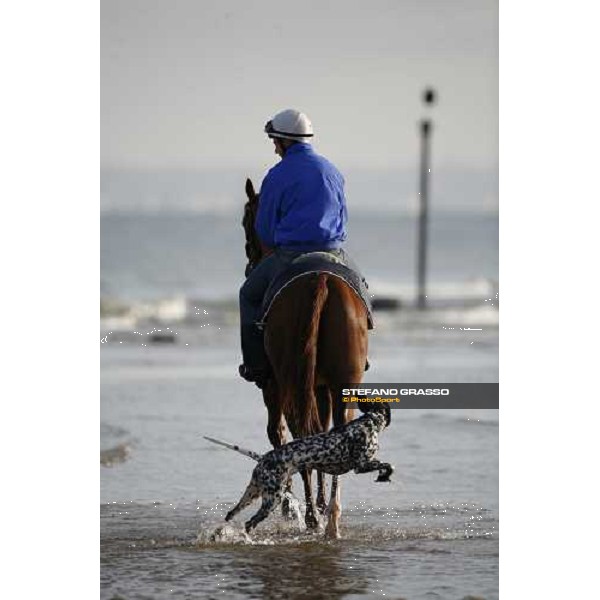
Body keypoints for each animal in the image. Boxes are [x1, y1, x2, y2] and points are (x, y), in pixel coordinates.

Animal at [206, 406, 394, 532]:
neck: (368, 422)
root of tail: (263, 458)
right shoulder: (361, 466)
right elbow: (388, 465)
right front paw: (384, 475)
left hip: (252, 494)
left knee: (231, 514)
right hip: (272, 500)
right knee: (249, 523)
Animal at [241, 178, 368, 540]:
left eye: (246, 221)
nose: (249, 262)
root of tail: (319, 279)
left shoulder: (272, 387)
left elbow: (278, 433)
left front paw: (290, 506)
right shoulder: (321, 387)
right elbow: (323, 432)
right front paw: (322, 503)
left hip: (287, 379)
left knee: (299, 432)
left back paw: (312, 516)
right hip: (342, 382)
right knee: (334, 429)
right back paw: (331, 518)